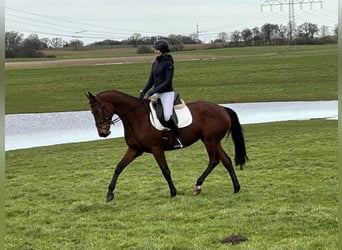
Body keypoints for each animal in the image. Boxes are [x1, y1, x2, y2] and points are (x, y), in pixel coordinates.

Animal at [85, 90, 246, 201]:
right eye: (92, 112)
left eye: (99, 110)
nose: (103, 133)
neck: (137, 118)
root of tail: (222, 108)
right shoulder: (135, 149)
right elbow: (119, 167)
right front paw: (109, 194)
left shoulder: (156, 149)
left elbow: (165, 171)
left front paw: (173, 192)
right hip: (213, 141)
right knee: (226, 160)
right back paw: (236, 188)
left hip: (209, 140)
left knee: (214, 160)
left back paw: (197, 186)